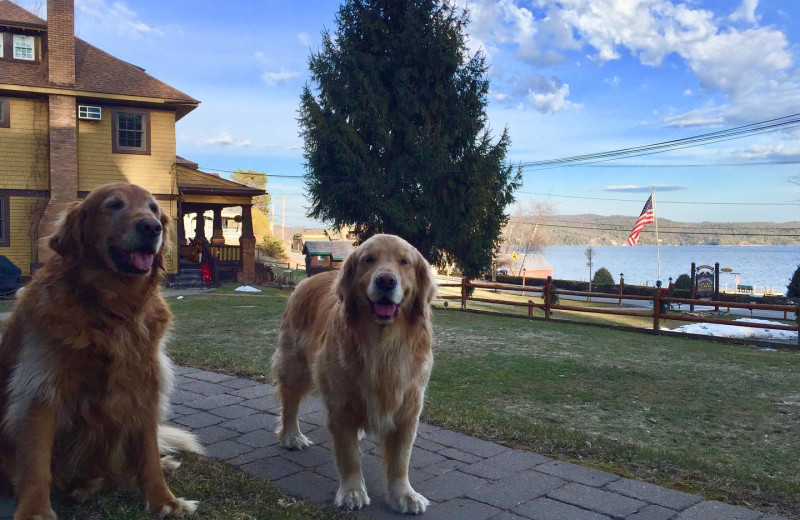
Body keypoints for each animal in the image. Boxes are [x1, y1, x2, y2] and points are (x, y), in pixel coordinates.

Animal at [0, 184, 200, 520]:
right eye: (114, 205)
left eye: (154, 209)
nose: (152, 227)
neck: (114, 309)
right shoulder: (41, 389)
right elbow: (36, 463)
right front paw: (35, 511)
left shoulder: (145, 384)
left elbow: (147, 454)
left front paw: (165, 502)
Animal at [276, 234, 438, 512]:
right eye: (368, 259)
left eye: (404, 262)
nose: (386, 280)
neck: (383, 345)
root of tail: (307, 280)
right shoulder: (340, 404)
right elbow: (348, 455)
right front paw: (352, 492)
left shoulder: (408, 403)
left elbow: (400, 458)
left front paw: (404, 494)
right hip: (295, 366)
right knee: (290, 403)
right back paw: (291, 436)